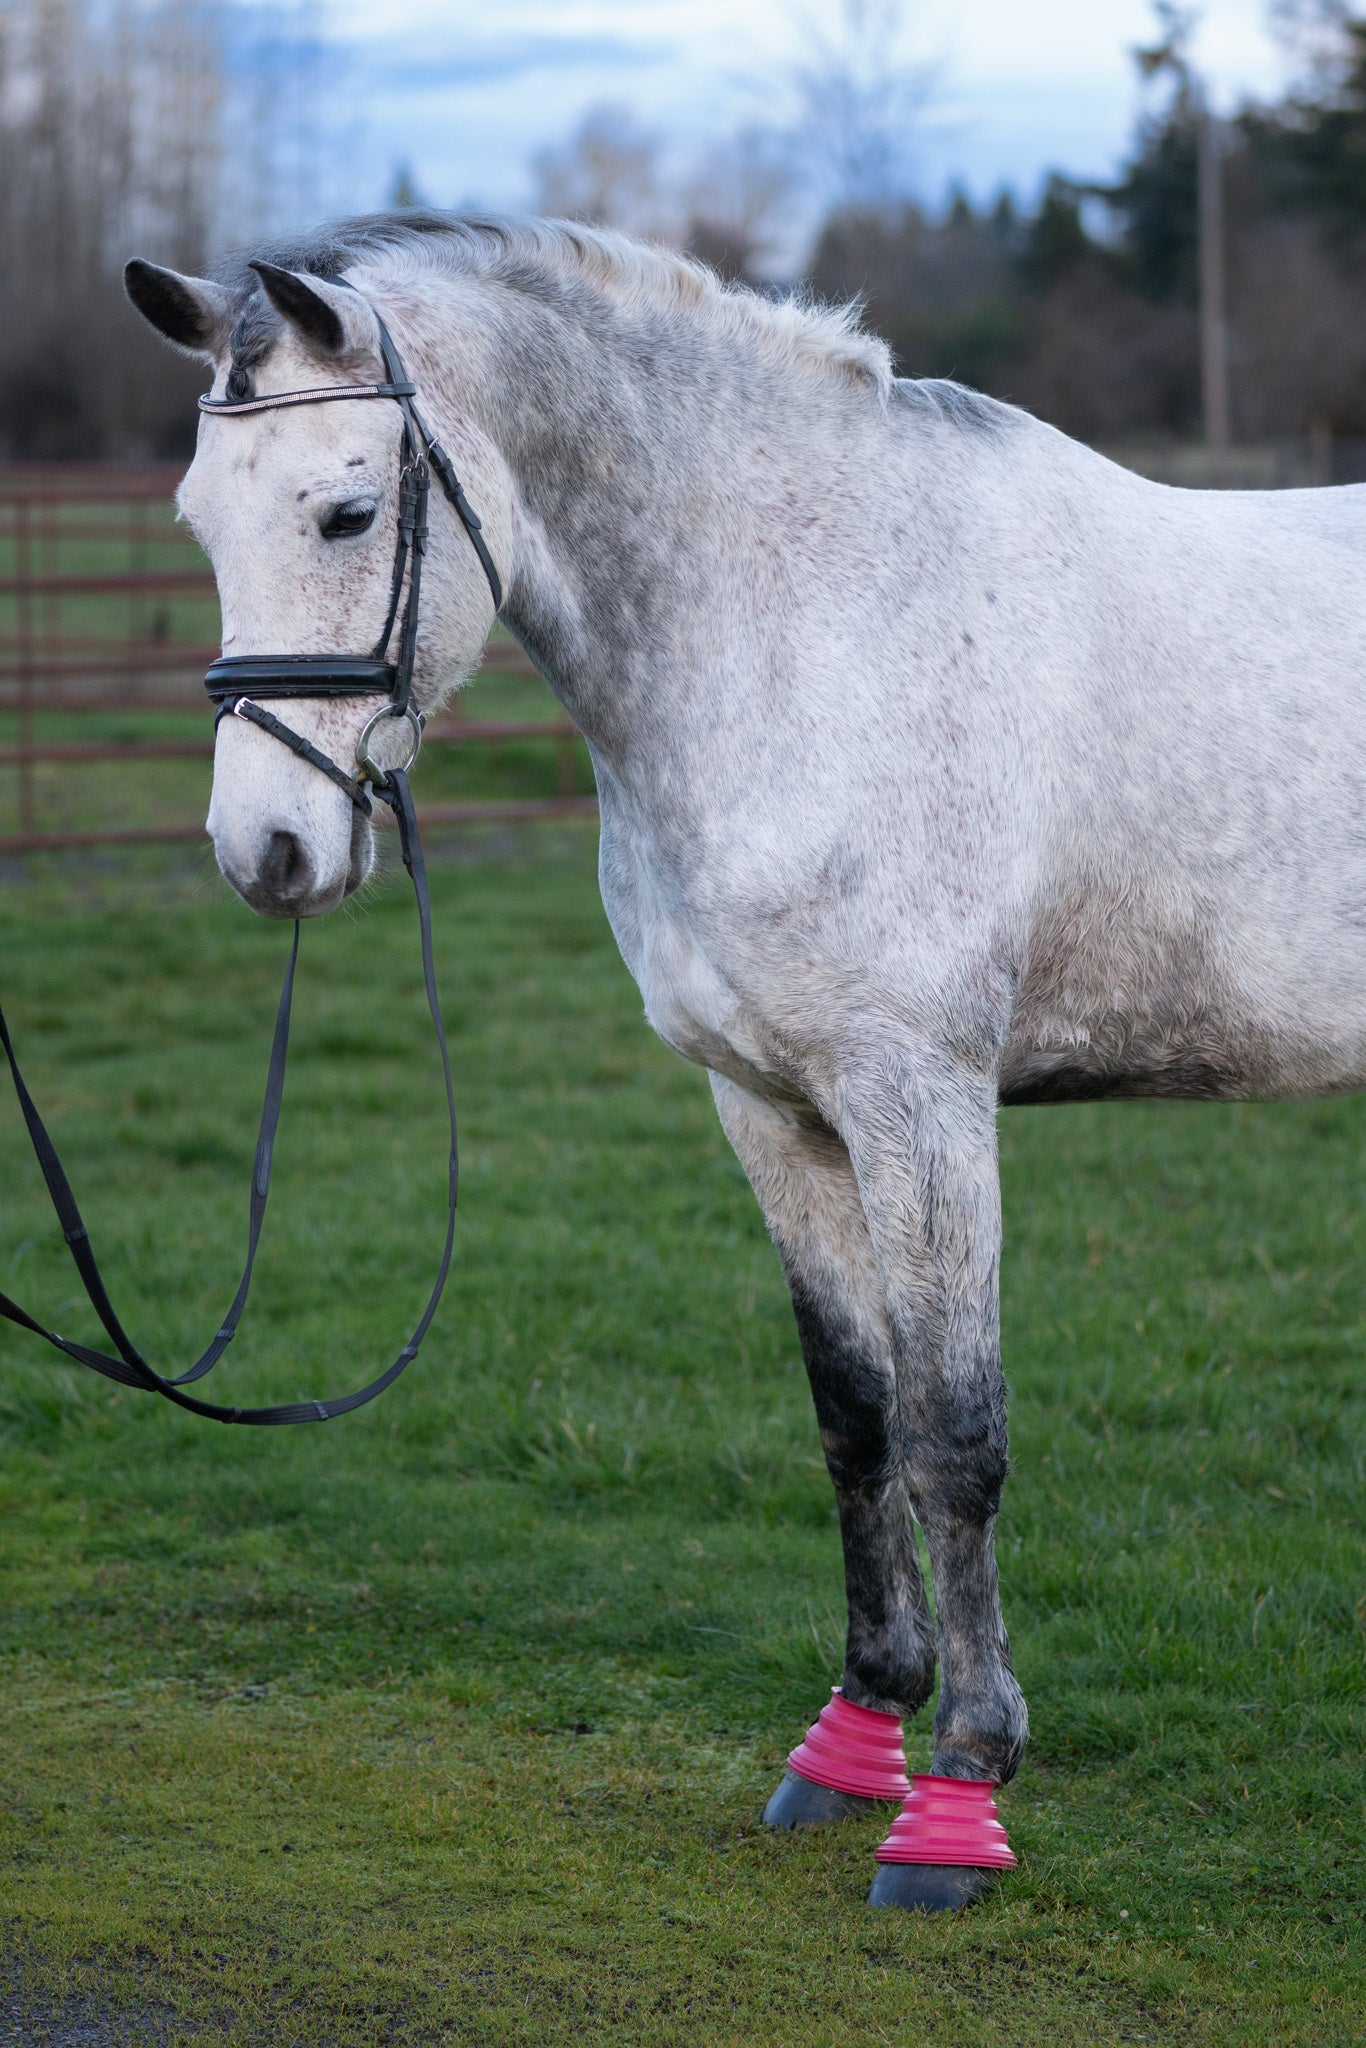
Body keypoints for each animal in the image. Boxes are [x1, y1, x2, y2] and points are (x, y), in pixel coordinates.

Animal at [125, 216, 1366, 1908]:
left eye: (347, 510)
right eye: (199, 519)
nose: (267, 852)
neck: (813, 618)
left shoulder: (919, 1103)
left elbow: (953, 1439)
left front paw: (958, 1800)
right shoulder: (772, 1110)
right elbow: (855, 1418)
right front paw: (852, 1742)